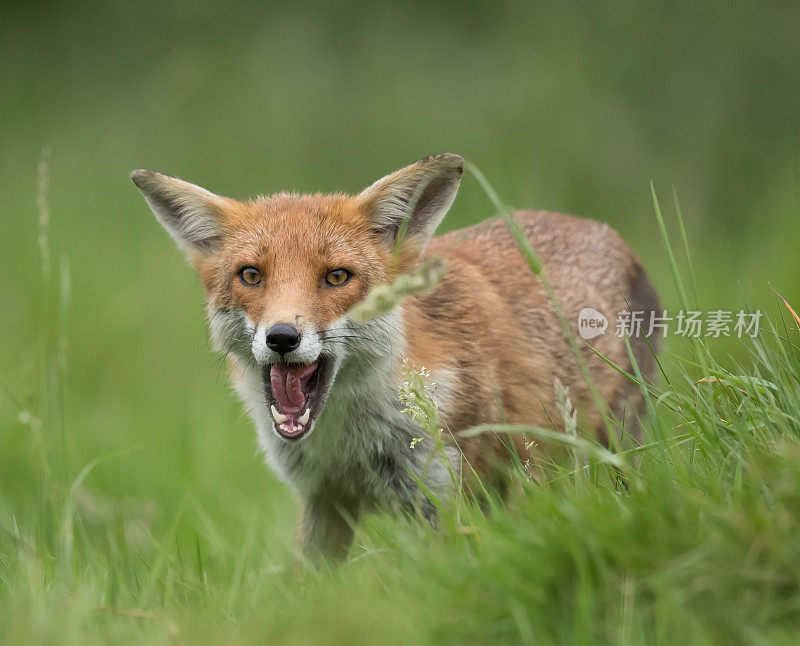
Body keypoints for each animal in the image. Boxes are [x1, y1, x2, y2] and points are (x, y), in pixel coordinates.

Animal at [130, 153, 656, 560]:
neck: (351, 442)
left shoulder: (443, 501)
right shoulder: (323, 503)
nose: (281, 337)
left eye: (337, 277)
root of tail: (599, 227)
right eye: (251, 275)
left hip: (607, 452)